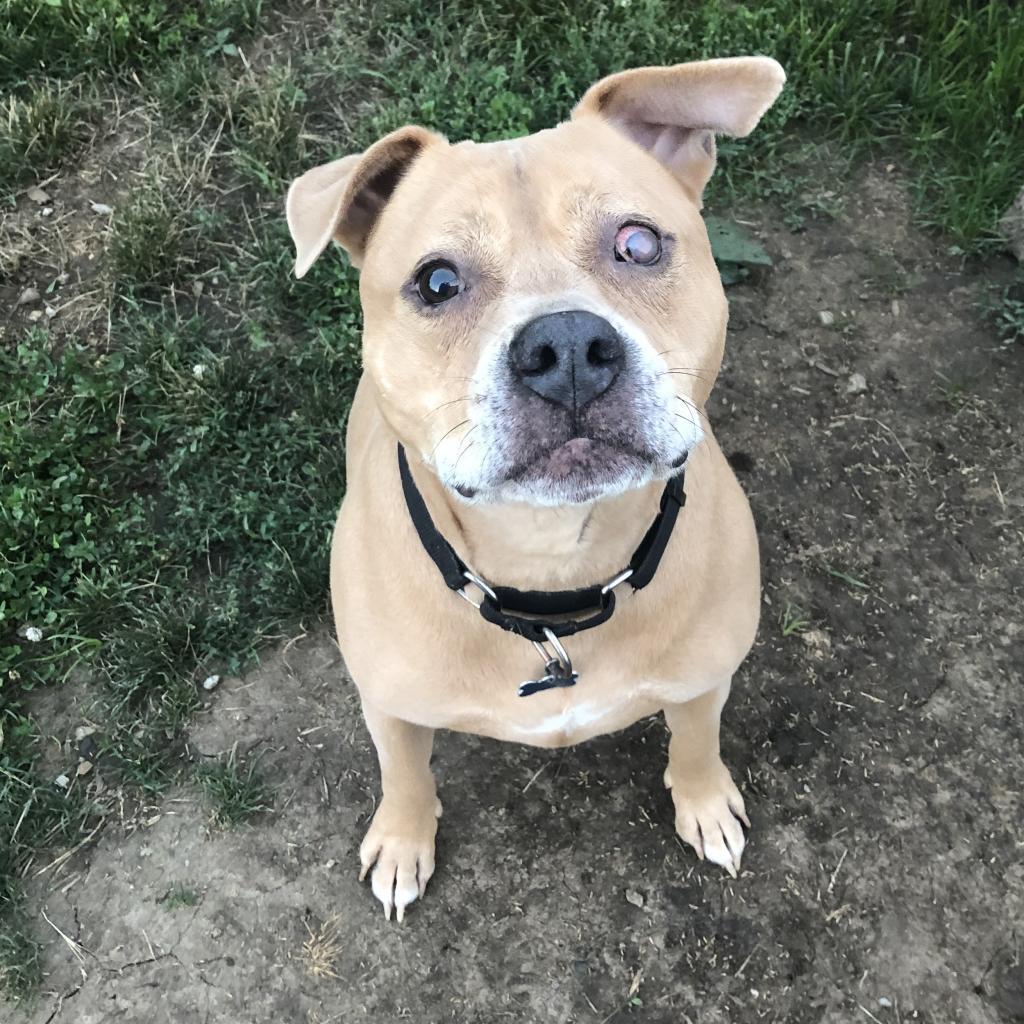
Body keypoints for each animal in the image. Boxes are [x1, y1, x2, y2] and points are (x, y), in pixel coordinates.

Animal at [284, 56, 786, 921]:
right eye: (437, 282)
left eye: (638, 242)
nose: (568, 347)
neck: (555, 576)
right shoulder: (389, 704)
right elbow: (403, 771)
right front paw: (403, 840)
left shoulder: (704, 679)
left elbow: (696, 737)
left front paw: (704, 801)